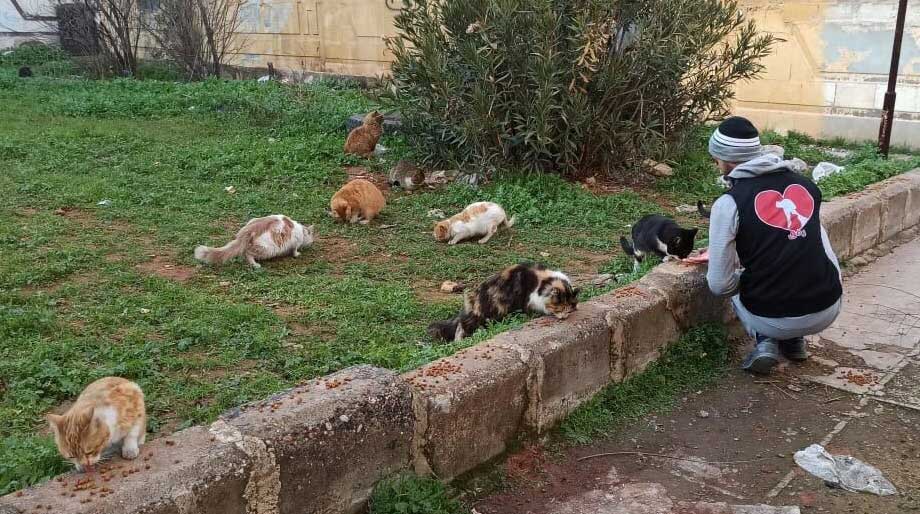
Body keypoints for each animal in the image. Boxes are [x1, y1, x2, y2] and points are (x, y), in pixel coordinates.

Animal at [428, 262, 580, 342]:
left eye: (568, 309)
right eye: (560, 308)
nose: (564, 317)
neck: (542, 283)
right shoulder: (526, 300)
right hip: (482, 315)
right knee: (462, 326)